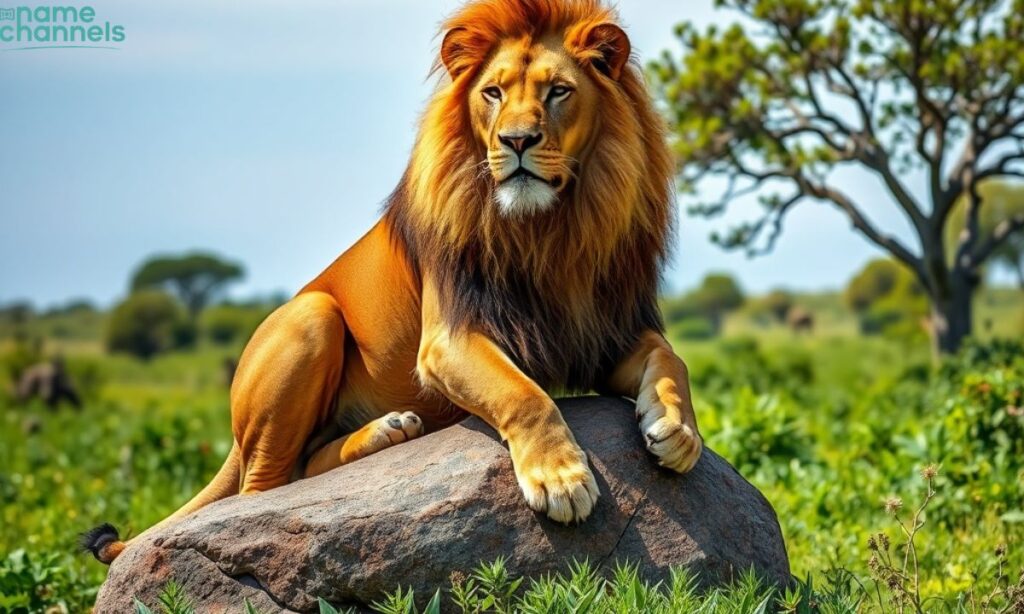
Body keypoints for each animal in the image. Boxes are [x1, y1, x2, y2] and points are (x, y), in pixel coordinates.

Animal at [83, 0, 703, 565]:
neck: (553, 231)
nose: (517, 141)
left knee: (299, 468)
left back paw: (390, 431)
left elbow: (673, 361)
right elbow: (524, 394)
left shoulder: (607, 332)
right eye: (493, 94)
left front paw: (677, 430)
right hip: (311, 316)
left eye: (558, 92)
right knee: (263, 489)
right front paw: (561, 478)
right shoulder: (448, 339)